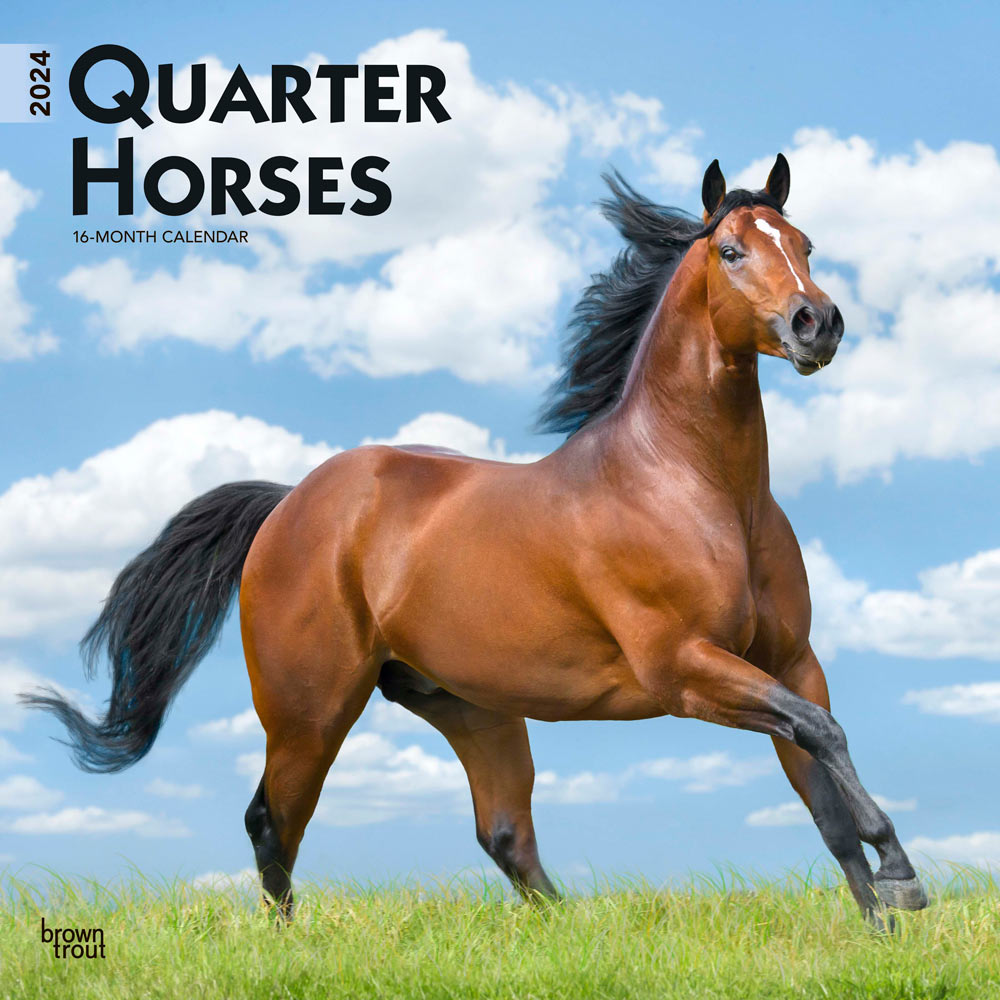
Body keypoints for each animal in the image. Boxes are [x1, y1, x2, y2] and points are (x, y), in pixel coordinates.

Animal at [23, 154, 929, 928]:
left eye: (805, 245)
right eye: (733, 250)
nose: (817, 323)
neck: (698, 489)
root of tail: (288, 507)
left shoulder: (788, 661)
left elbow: (822, 781)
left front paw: (882, 922)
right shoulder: (685, 669)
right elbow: (822, 735)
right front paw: (903, 875)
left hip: (471, 709)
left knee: (504, 836)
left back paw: (570, 935)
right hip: (309, 710)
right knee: (272, 823)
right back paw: (289, 945)